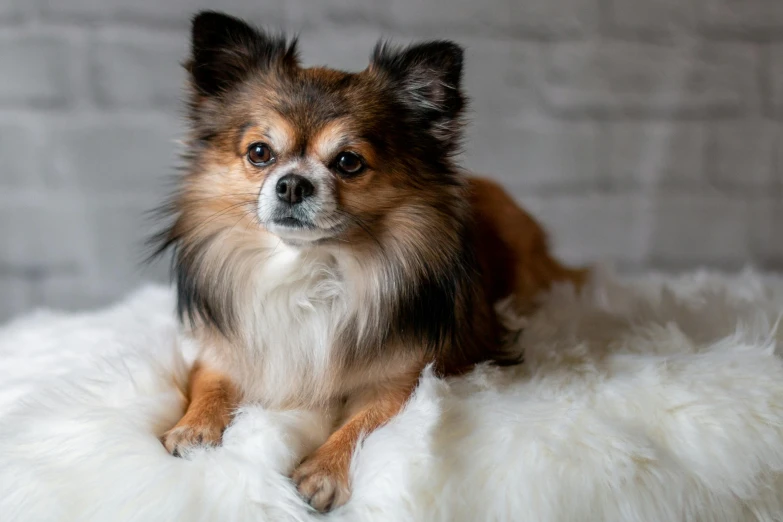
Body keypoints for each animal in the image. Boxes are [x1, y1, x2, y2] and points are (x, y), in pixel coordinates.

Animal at [150, 10, 584, 510]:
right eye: (259, 153)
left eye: (348, 162)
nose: (292, 184)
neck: (310, 266)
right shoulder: (227, 352)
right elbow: (209, 385)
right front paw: (194, 427)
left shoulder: (403, 381)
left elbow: (362, 422)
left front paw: (323, 470)